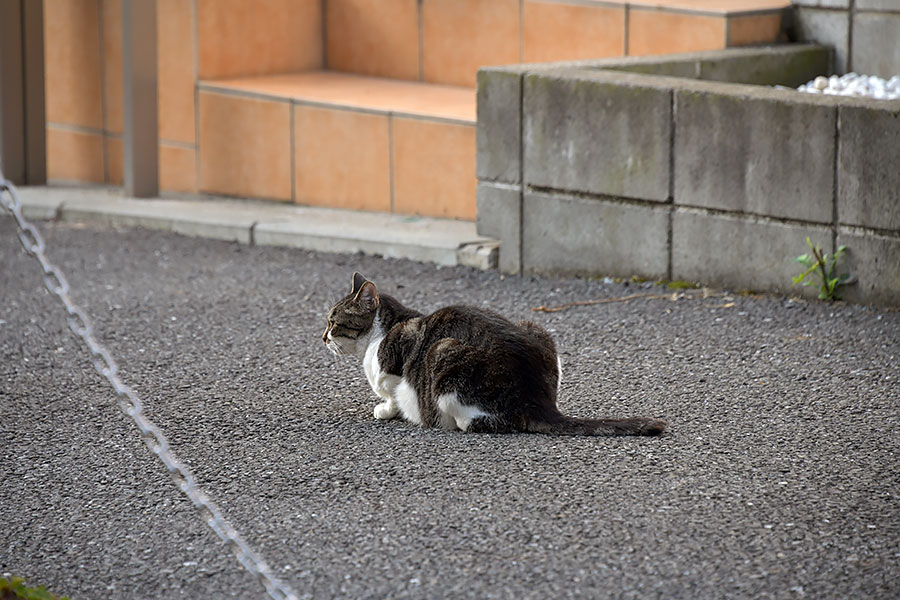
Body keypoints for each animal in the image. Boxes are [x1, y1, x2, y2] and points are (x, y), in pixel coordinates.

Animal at [326, 274, 668, 436]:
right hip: (537, 328)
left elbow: (391, 391)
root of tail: (539, 401)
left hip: (443, 354)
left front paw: (386, 409)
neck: (380, 332)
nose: (323, 336)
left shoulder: (393, 363)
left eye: (333, 320)